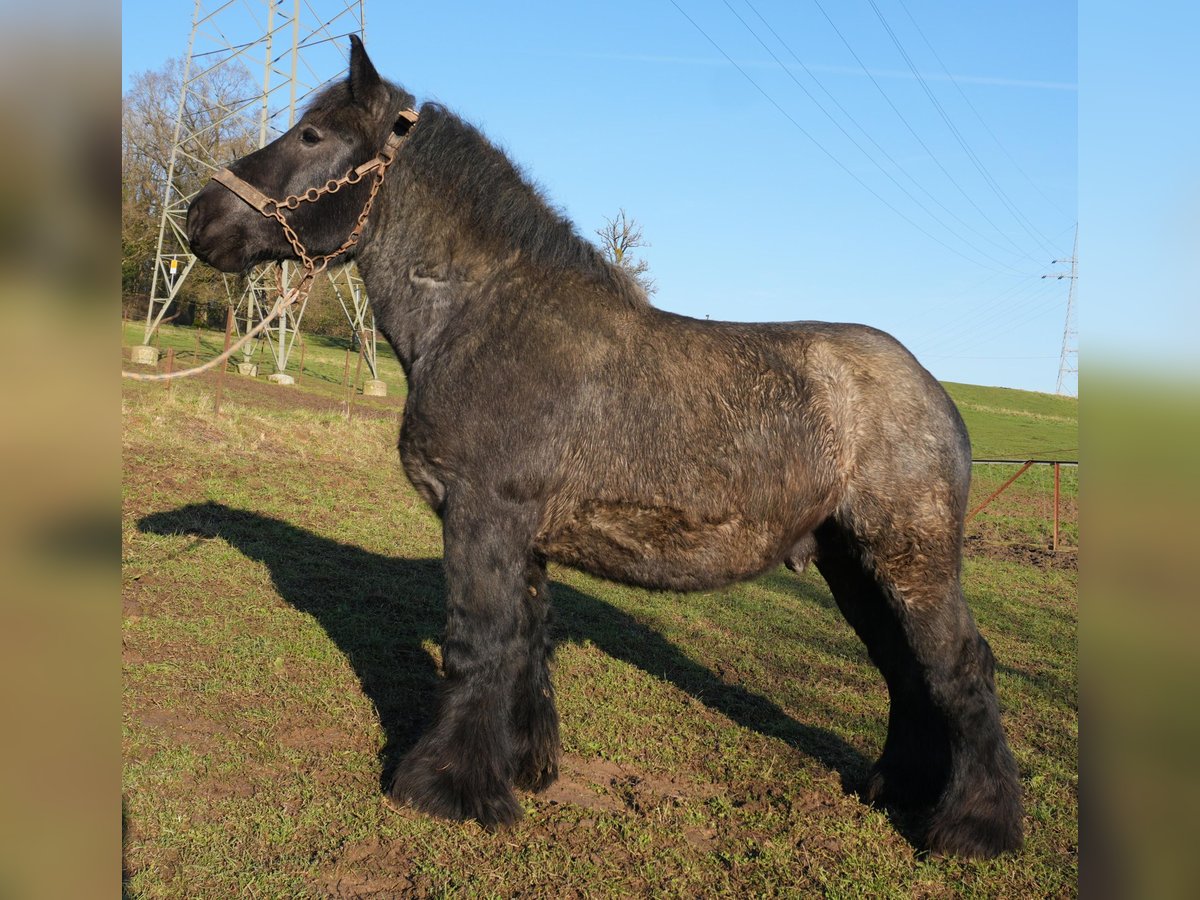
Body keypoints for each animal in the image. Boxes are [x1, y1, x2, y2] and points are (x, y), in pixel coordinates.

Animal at [184, 38, 1022, 864]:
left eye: (311, 136)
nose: (199, 216)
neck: (481, 312)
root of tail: (935, 393)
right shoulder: (520, 538)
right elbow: (524, 647)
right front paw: (522, 767)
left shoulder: (481, 517)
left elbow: (477, 645)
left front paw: (446, 789)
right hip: (853, 565)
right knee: (907, 671)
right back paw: (898, 787)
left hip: (909, 558)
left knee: (959, 666)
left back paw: (974, 827)